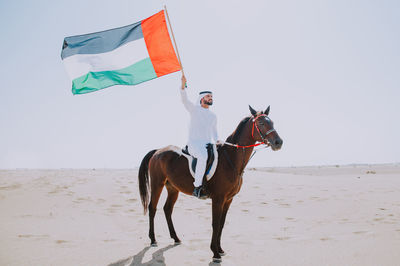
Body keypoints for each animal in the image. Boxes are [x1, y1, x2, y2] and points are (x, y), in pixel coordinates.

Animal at [139, 105, 282, 262]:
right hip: (157, 185)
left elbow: (222, 224)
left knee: (167, 209)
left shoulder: (228, 199)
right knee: (152, 208)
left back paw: (176, 238)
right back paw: (153, 240)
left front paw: (220, 249)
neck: (231, 159)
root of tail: (158, 151)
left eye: (272, 122)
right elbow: (215, 223)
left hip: (173, 188)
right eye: (261, 123)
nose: (278, 142)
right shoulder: (218, 199)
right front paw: (215, 253)